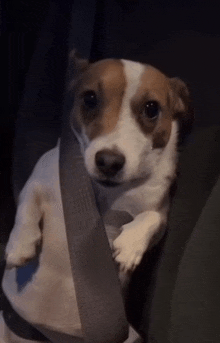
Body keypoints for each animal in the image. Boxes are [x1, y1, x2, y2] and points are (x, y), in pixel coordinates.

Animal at [0, 55, 192, 342]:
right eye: (89, 98)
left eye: (151, 108)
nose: (109, 162)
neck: (104, 192)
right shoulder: (39, 181)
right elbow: (27, 207)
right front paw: (20, 244)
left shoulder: (157, 211)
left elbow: (150, 218)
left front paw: (130, 246)